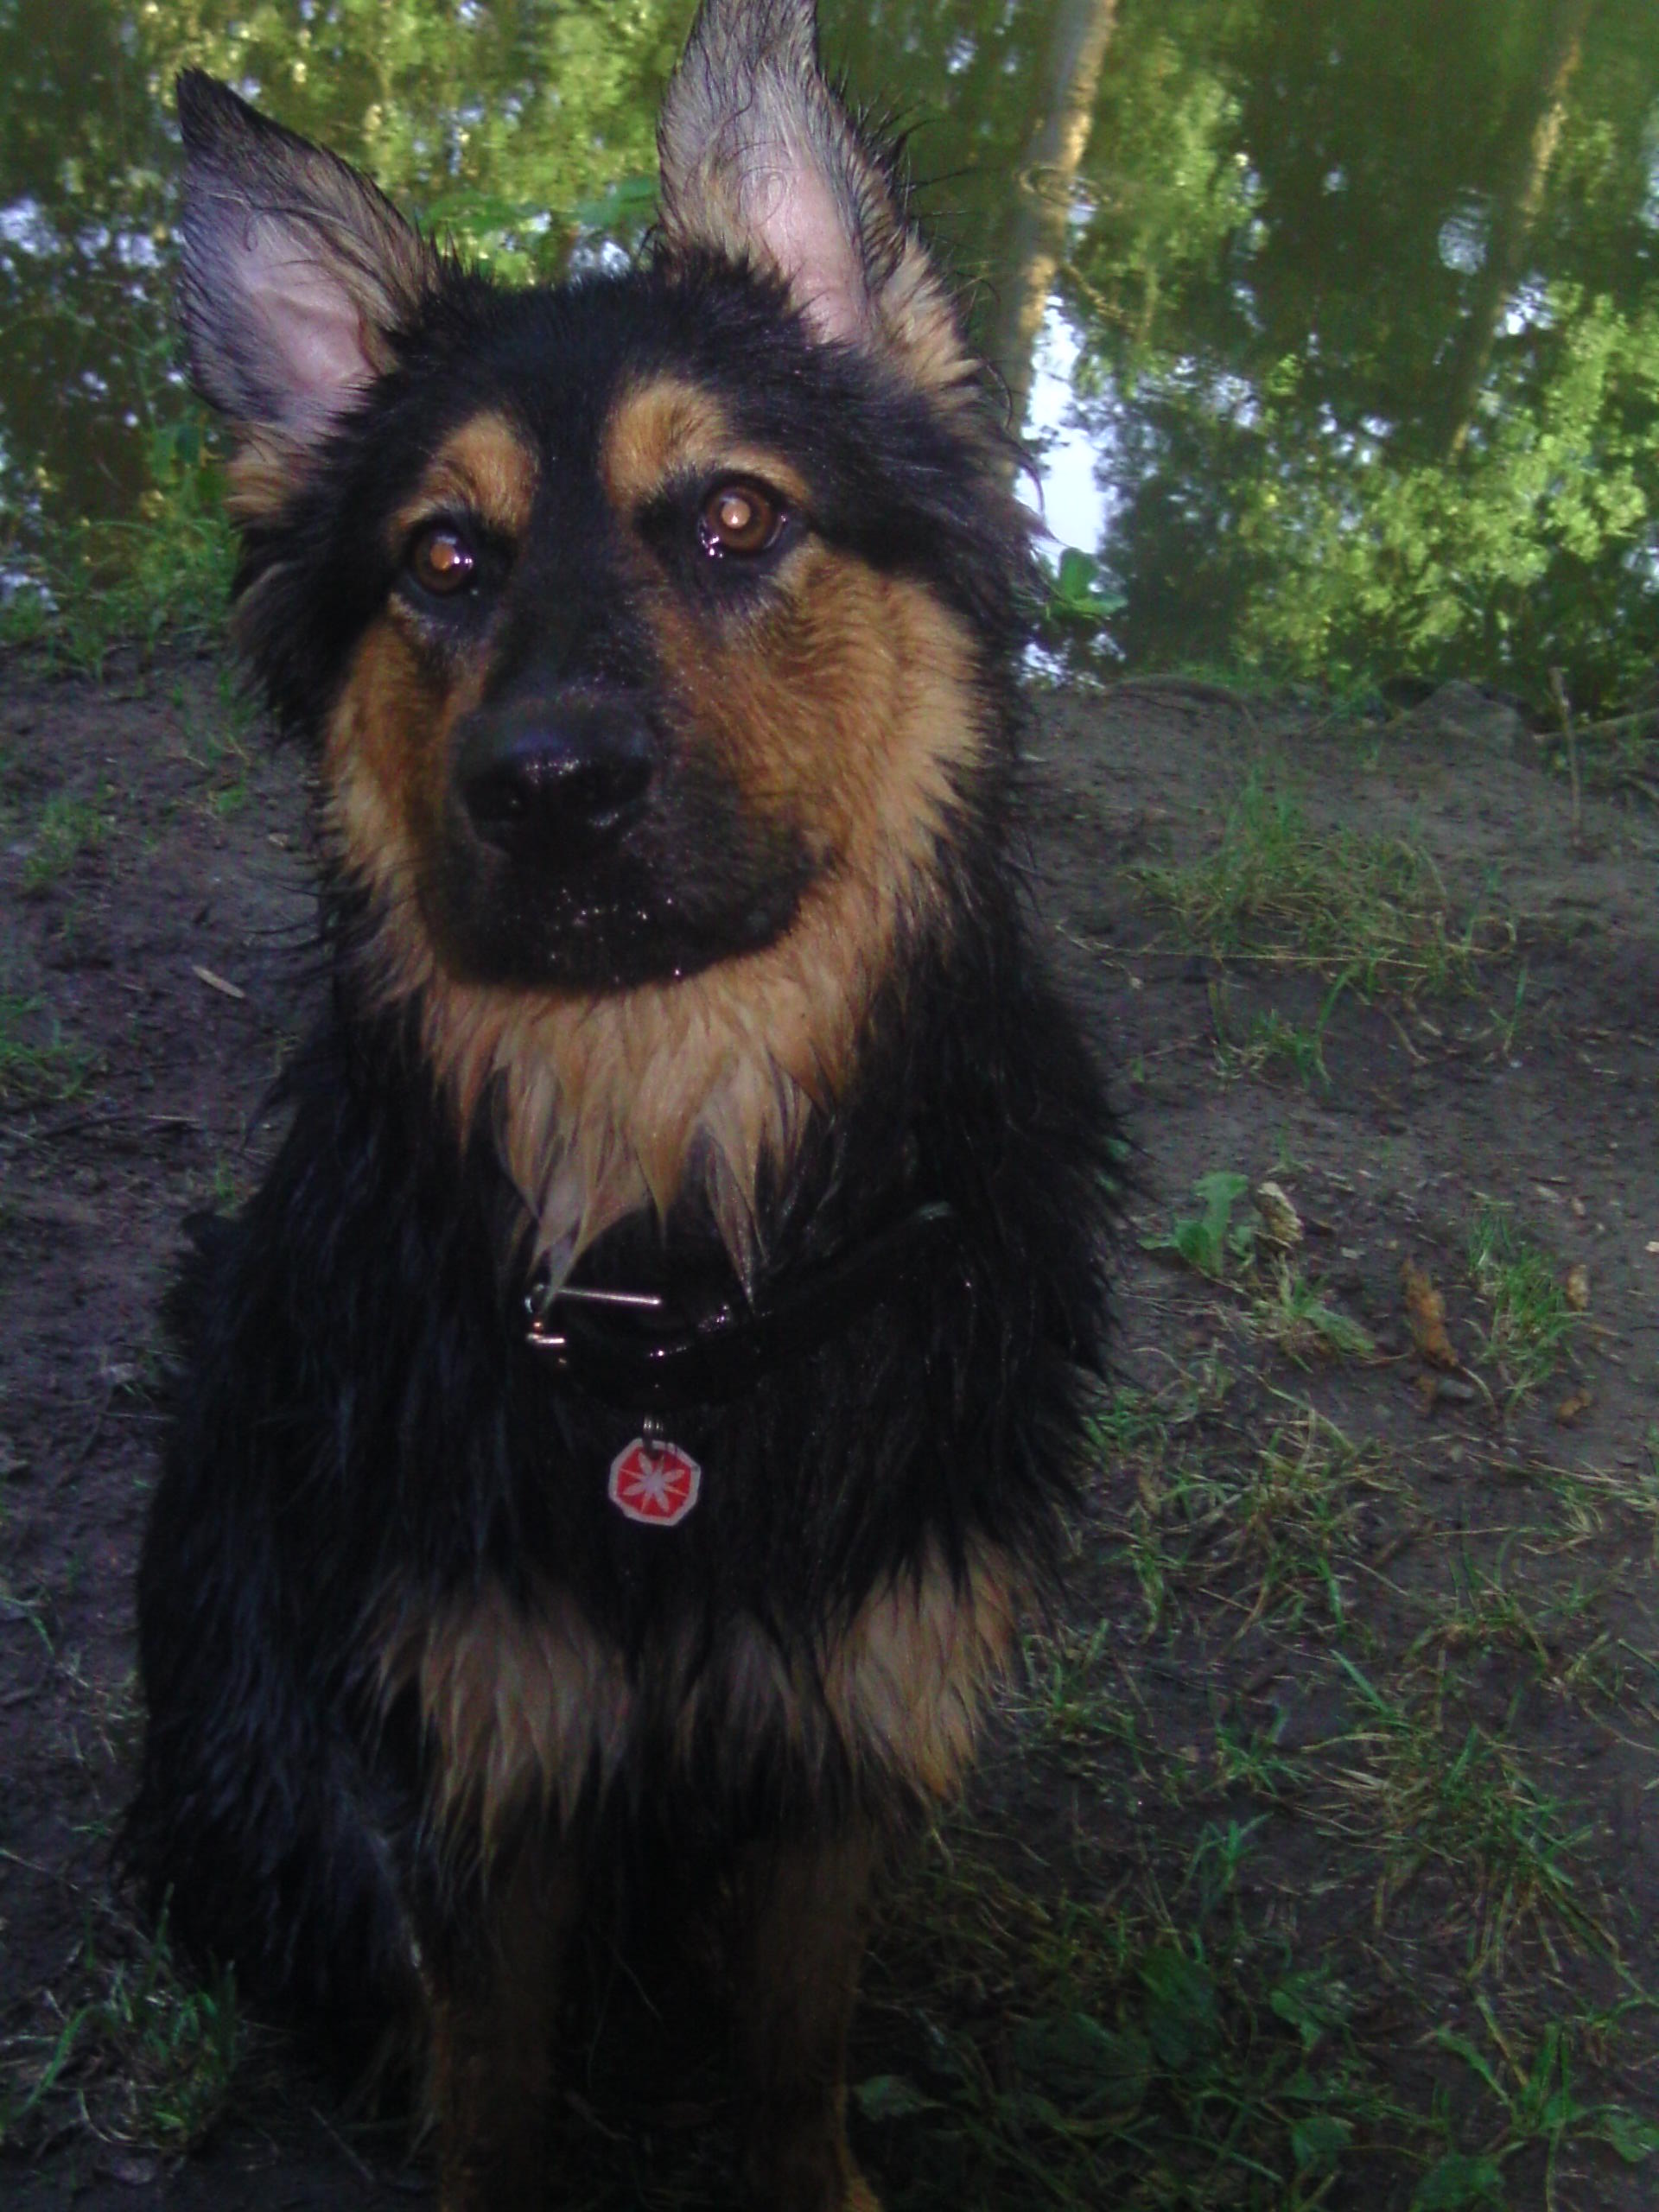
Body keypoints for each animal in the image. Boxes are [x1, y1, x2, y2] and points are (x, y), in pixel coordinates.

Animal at [130, 9, 1119, 2202]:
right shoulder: (475, 1761)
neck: (680, 1277)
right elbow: (489, 2084)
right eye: (444, 557)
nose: (550, 787)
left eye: (736, 519)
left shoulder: (845, 1718)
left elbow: (794, 2059)